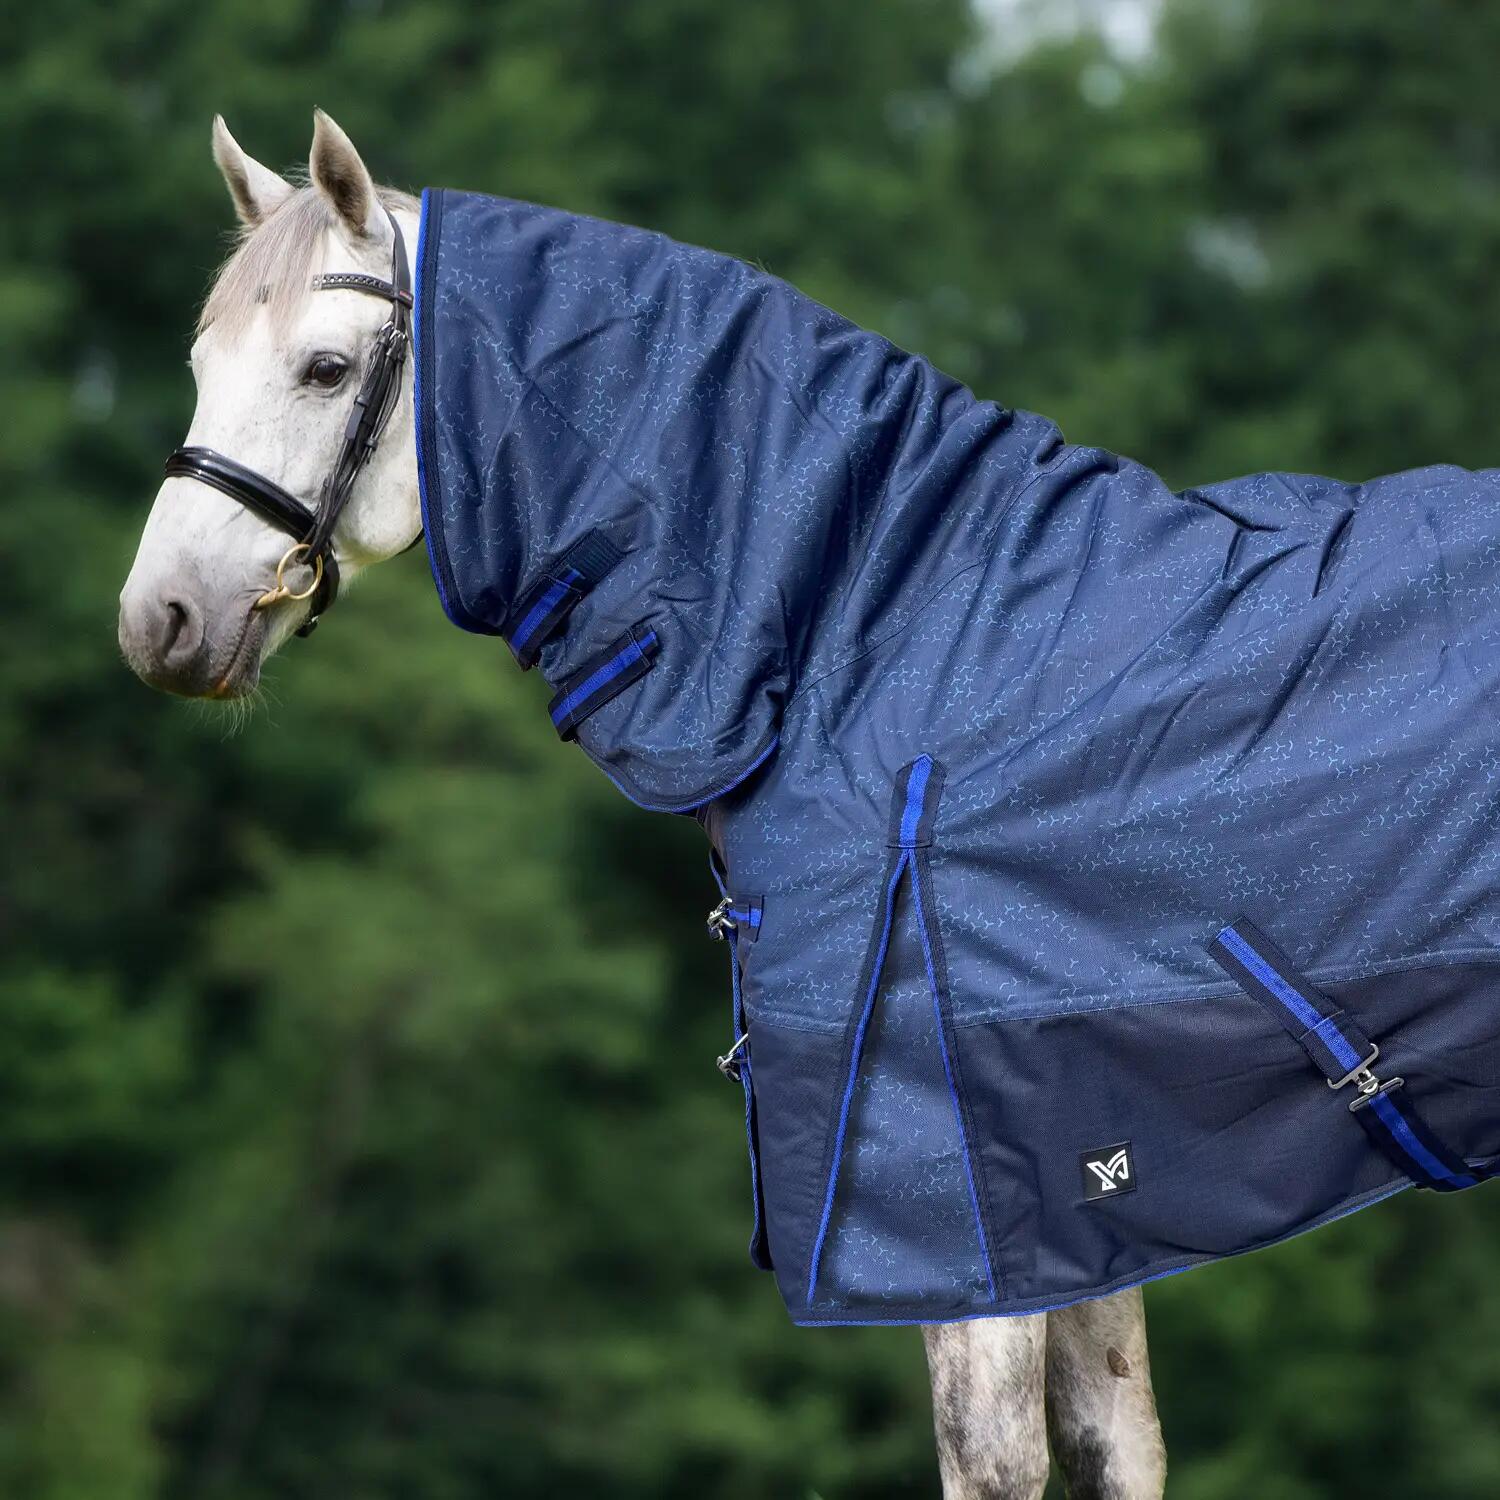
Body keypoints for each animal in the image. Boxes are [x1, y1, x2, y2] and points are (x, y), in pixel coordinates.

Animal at [119, 110, 1167, 1500]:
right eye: (199, 362)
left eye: (327, 368)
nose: (160, 621)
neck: (882, 645)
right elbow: (1115, 1441)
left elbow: (1000, 1453)